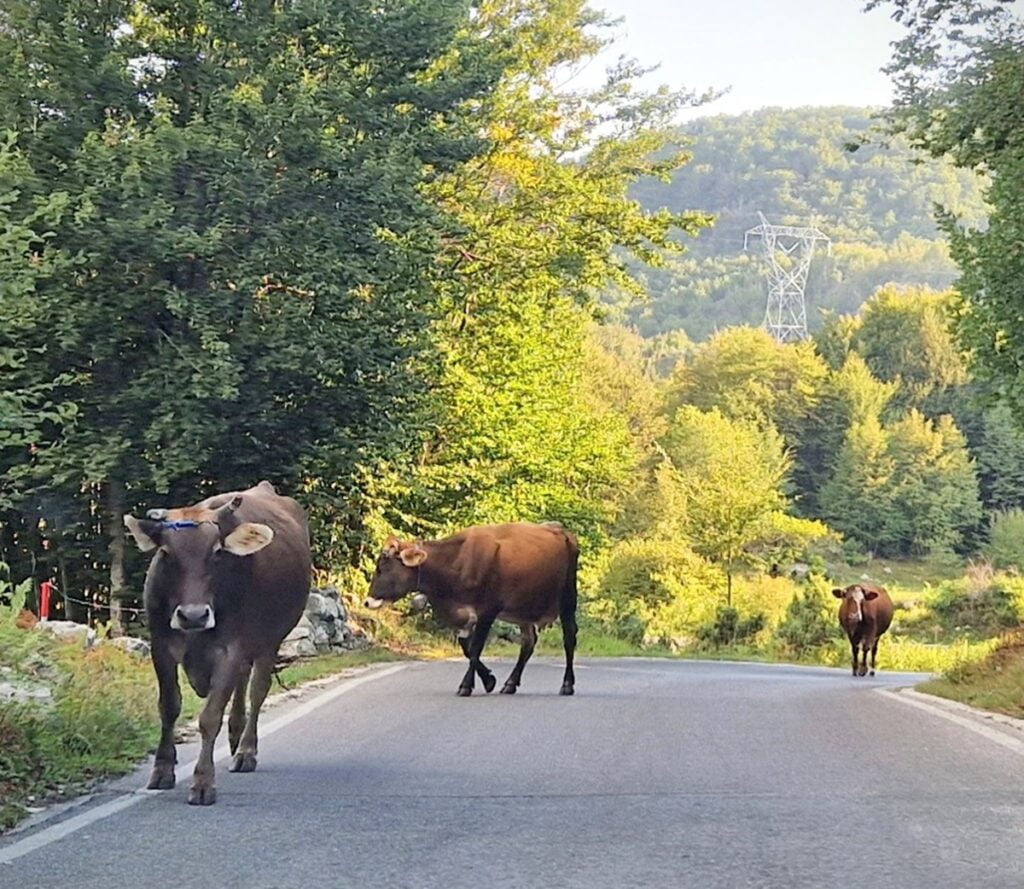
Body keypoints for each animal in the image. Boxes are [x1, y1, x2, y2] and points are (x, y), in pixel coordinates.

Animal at [124, 483, 307, 802]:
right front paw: (162, 769)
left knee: (257, 690)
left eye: (217, 552)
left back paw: (246, 750)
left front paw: (203, 782)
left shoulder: (230, 648)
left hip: (270, 639)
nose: (194, 615)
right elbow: (169, 706)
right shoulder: (160, 645)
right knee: (243, 681)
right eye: (166, 552)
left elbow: (210, 716)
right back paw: (235, 737)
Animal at [364, 520, 581, 700]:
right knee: (528, 642)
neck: (455, 562)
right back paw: (510, 683)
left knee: (569, 637)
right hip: (523, 609)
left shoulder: (488, 610)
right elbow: (466, 647)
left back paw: (567, 684)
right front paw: (489, 680)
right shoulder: (463, 614)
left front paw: (466, 686)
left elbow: (476, 648)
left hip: (568, 597)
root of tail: (562, 530)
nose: (367, 602)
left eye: (383, 567)